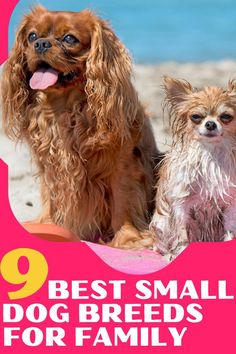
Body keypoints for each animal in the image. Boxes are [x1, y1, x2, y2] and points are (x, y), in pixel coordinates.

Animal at [0, 6, 159, 249]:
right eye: (32, 36)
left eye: (69, 39)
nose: (41, 44)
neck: (65, 107)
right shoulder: (50, 163)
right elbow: (50, 195)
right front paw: (47, 226)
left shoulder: (122, 163)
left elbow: (122, 200)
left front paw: (127, 238)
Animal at [150, 76, 236, 254]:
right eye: (196, 116)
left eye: (226, 116)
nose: (210, 124)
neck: (211, 154)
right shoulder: (181, 203)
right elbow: (182, 232)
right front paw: (180, 251)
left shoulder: (230, 204)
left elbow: (230, 230)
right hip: (161, 224)